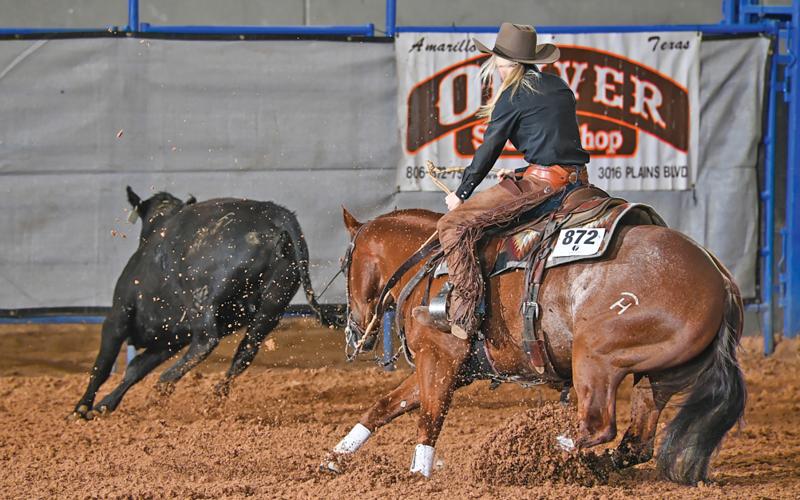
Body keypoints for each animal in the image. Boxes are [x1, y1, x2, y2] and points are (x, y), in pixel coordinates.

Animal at [323, 205, 745, 485]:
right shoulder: (451, 368)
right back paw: (588, 465)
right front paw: (334, 459)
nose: (352, 332)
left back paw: (526, 457)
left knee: (598, 425)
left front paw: (418, 473)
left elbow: (430, 417)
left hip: (595, 357)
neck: (430, 268)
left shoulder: (439, 358)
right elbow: (383, 407)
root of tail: (720, 280)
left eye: (346, 264)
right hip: (658, 376)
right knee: (636, 442)